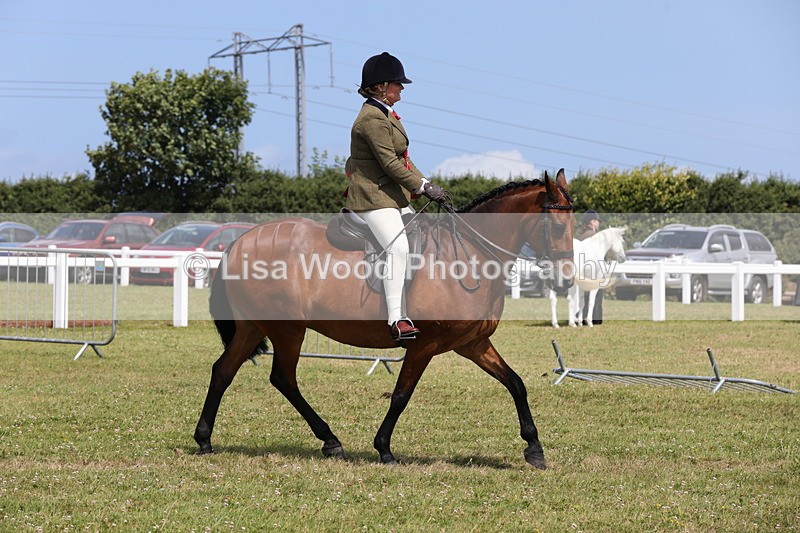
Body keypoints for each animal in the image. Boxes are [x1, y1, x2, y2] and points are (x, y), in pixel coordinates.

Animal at [194, 169, 575, 470]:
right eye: (557, 227)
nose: (567, 280)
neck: (468, 256)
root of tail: (240, 241)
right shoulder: (423, 345)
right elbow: (401, 394)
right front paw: (384, 449)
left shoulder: (473, 344)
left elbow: (515, 383)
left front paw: (534, 448)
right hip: (288, 330)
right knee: (283, 379)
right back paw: (330, 440)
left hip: (253, 327)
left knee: (223, 371)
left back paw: (205, 439)